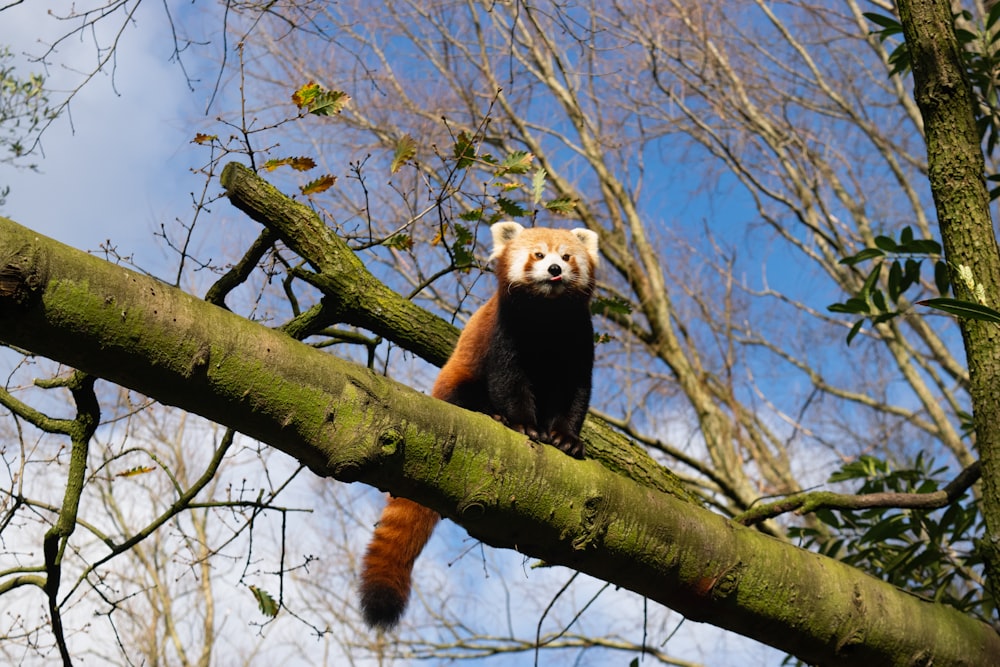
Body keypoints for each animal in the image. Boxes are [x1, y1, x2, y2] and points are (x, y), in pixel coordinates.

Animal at [358, 222, 596, 628]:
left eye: (566, 257)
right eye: (537, 254)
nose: (554, 270)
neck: (548, 320)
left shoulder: (578, 342)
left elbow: (575, 396)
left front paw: (566, 439)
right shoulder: (504, 335)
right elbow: (509, 381)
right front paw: (523, 425)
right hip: (458, 381)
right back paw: (492, 415)